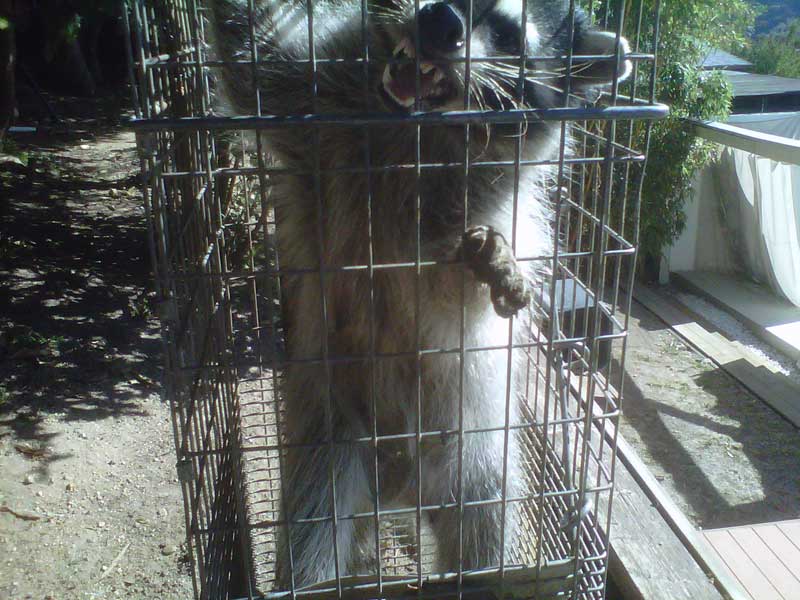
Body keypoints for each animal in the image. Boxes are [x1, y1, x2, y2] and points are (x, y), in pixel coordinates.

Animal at [209, 0, 628, 592]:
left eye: (507, 34)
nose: (441, 22)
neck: (416, 131)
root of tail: (402, 492)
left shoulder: (483, 206)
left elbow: (456, 299)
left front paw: (494, 262)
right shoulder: (313, 105)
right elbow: (251, 59)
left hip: (474, 452)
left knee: (485, 522)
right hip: (335, 437)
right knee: (314, 529)